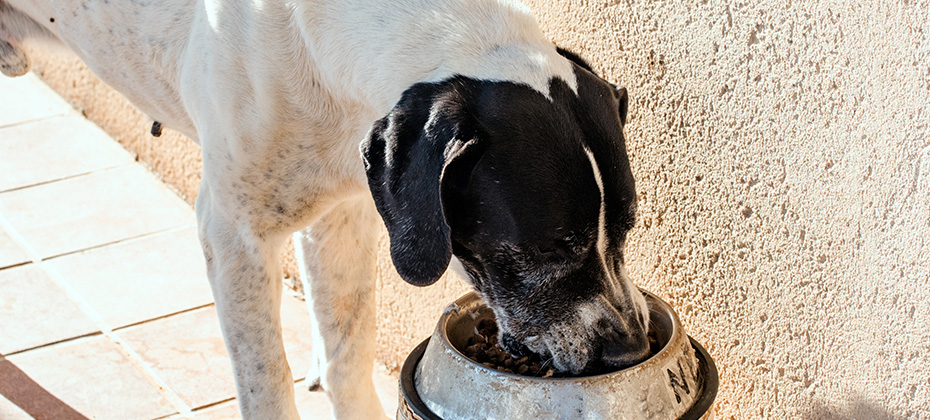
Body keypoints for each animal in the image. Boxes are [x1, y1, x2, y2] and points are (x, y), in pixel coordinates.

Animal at [1, 1, 644, 418]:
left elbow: (348, 356)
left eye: (628, 228)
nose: (631, 350)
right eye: (550, 246)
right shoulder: (235, 238)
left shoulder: (346, 218)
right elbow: (266, 381)